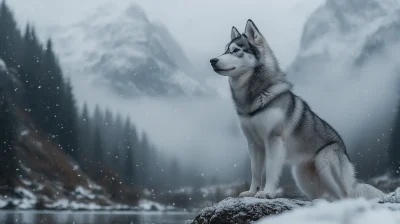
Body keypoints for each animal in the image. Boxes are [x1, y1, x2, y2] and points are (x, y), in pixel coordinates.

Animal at [211, 19, 396, 201]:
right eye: (225, 50)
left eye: (236, 50)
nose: (212, 60)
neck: (255, 96)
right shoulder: (254, 144)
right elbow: (255, 172)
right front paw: (251, 192)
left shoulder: (274, 140)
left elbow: (270, 171)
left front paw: (267, 192)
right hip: (301, 177)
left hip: (324, 162)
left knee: (345, 195)